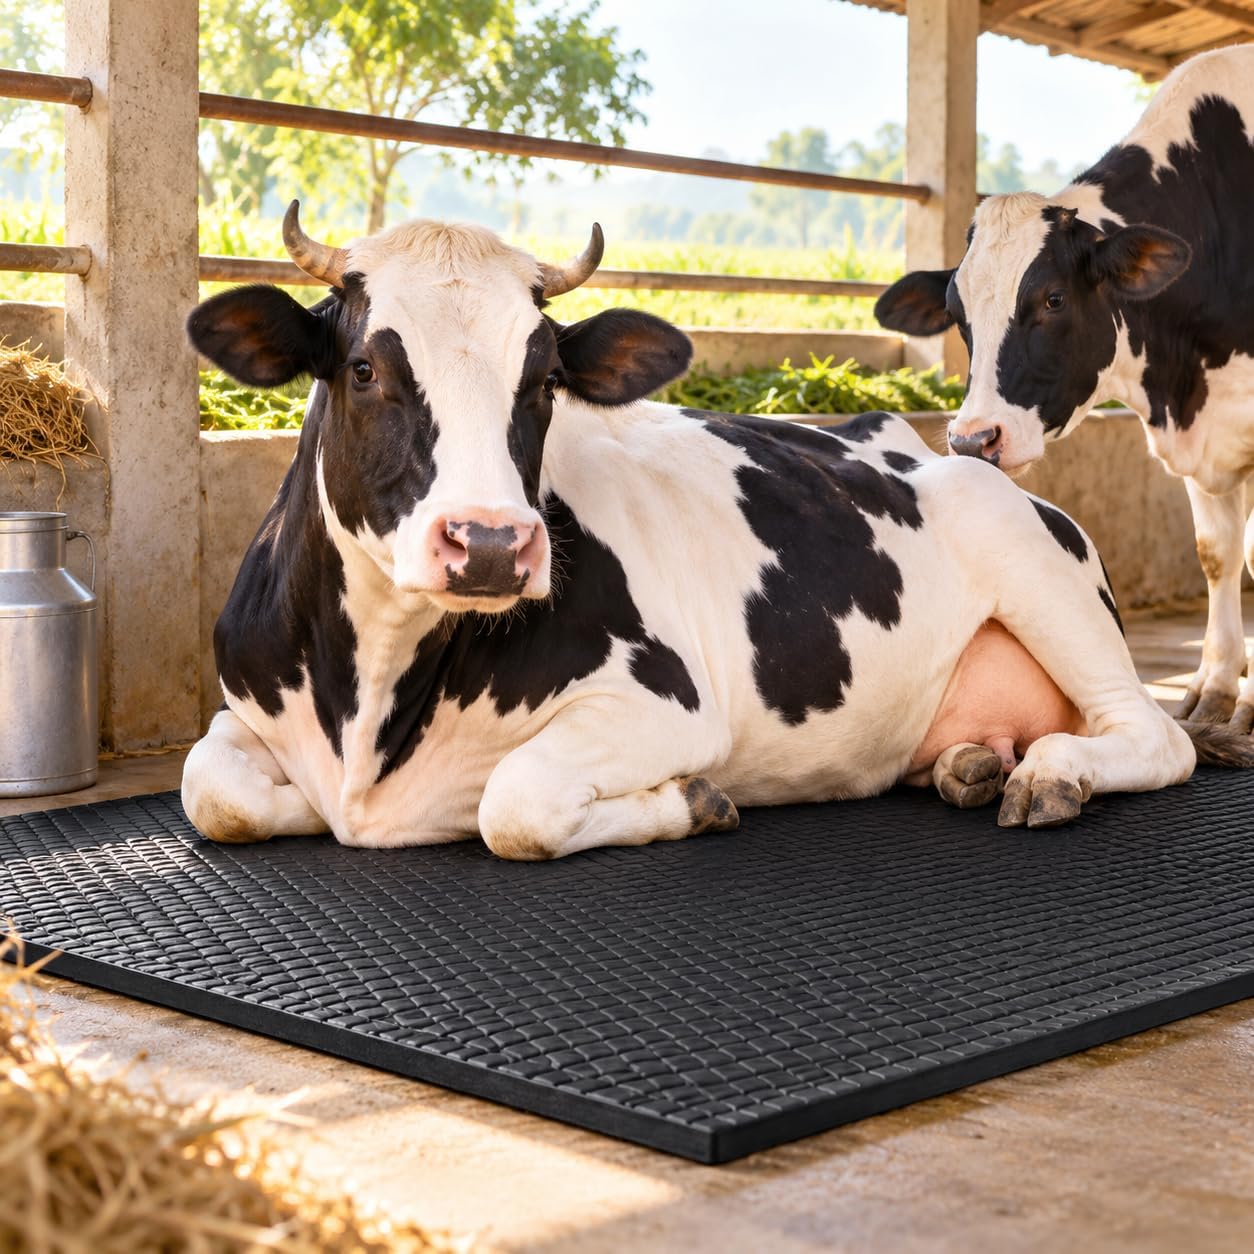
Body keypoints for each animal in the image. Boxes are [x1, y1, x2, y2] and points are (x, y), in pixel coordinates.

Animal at [180, 201, 1239, 861]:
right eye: (363, 368)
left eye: (545, 380)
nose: (488, 544)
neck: (369, 714)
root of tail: (930, 444)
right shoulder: (246, 705)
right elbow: (211, 788)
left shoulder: (666, 705)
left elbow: (511, 805)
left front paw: (690, 804)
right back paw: (972, 765)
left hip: (1030, 561)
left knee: (1153, 736)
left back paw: (1054, 772)